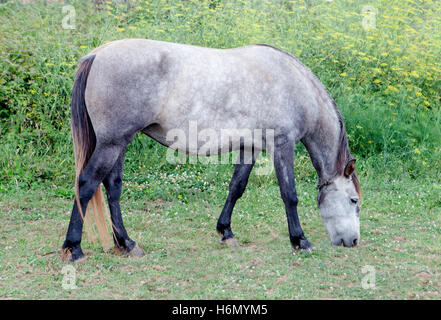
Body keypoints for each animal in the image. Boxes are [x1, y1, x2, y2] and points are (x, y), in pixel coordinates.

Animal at [62, 39, 360, 262]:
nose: (353, 241)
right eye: (354, 200)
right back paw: (74, 248)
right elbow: (290, 195)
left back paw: (126, 243)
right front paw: (300, 240)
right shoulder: (282, 145)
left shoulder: (249, 147)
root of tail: (97, 54)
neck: (292, 85)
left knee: (113, 187)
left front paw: (226, 231)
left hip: (119, 143)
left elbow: (236, 187)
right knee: (87, 184)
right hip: (112, 144)